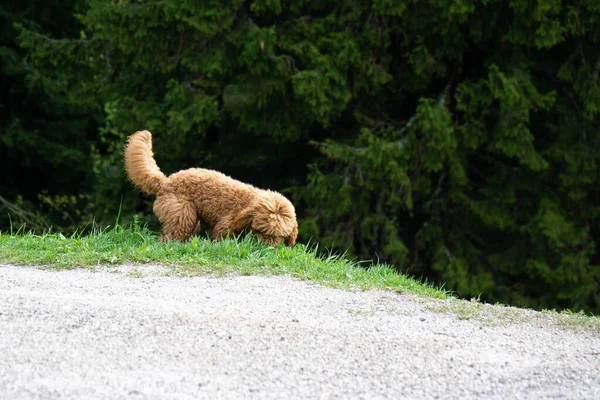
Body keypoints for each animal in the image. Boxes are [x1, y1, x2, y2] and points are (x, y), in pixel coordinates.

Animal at [123, 130, 298, 247]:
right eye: (262, 231)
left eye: (279, 235)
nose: (267, 248)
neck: (250, 203)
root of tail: (165, 182)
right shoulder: (226, 224)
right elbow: (220, 237)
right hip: (183, 214)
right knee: (171, 236)